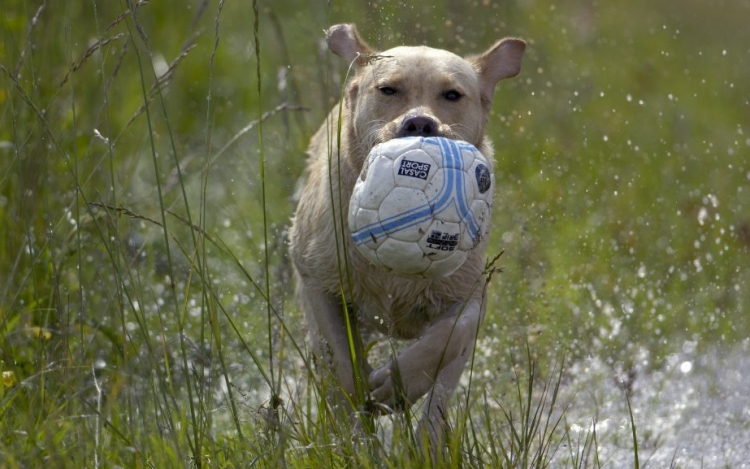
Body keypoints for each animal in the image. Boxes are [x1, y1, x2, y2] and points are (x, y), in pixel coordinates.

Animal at [290, 23, 524, 440]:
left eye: (452, 94)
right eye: (388, 90)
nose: (419, 124)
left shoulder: (469, 292)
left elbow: (450, 337)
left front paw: (398, 384)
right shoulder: (317, 279)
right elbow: (341, 363)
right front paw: (356, 417)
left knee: (440, 398)